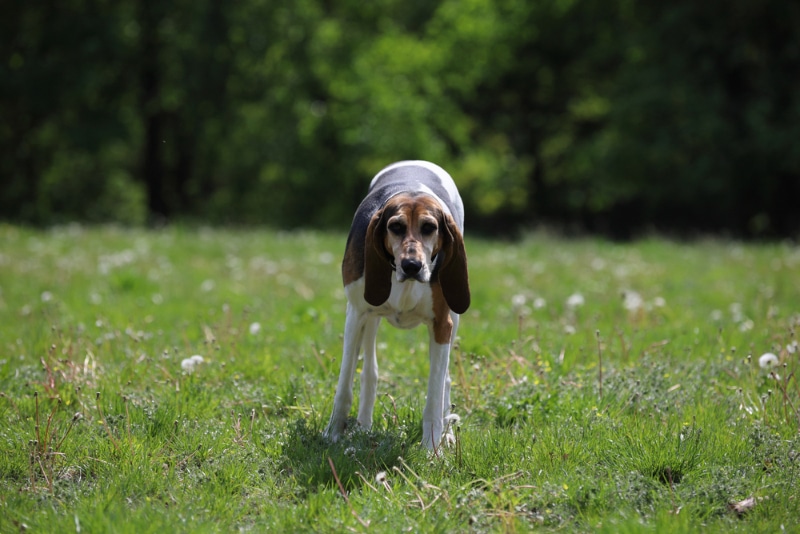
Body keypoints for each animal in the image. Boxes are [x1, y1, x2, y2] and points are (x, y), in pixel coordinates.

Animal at [324, 160, 468, 452]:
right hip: (369, 316)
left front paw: (431, 448)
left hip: (455, 317)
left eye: (430, 227)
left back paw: (447, 432)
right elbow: (344, 384)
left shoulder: (442, 324)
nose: (412, 265)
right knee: (369, 370)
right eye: (396, 227)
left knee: (445, 381)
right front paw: (333, 433)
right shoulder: (355, 313)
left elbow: (434, 393)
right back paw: (363, 425)